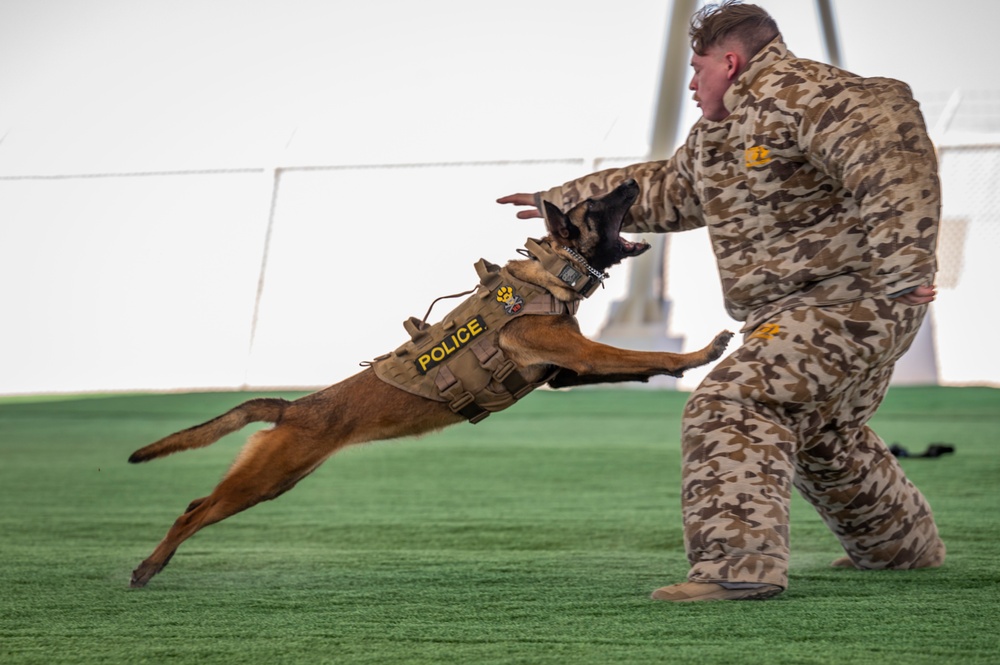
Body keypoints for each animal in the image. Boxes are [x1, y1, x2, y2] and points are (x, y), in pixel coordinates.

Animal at [127, 178, 736, 588]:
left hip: (277, 477)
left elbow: (641, 362)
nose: (633, 182)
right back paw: (148, 566)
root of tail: (294, 408)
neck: (549, 274)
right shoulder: (583, 355)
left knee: (198, 503)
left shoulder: (568, 372)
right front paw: (701, 351)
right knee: (193, 511)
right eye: (598, 205)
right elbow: (645, 350)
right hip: (266, 479)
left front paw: (682, 366)